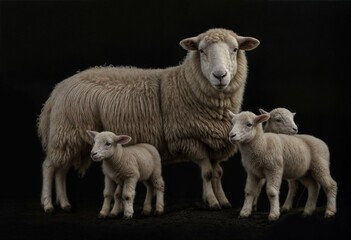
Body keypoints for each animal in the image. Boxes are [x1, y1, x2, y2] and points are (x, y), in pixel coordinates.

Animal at [37, 27, 262, 213]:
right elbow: (207, 174)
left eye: (235, 49)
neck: (187, 85)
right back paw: (48, 204)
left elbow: (217, 173)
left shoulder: (212, 143)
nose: (220, 75)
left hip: (70, 138)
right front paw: (213, 202)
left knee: (61, 170)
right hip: (65, 133)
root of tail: (57, 90)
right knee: (49, 167)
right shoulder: (189, 140)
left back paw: (64, 204)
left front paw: (222, 200)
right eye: (201, 51)